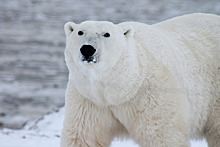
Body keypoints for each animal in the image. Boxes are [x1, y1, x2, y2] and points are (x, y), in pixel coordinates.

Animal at [60, 13, 220, 146]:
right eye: (80, 32)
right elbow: (84, 137)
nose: (87, 49)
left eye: (106, 34)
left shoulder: (151, 95)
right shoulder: (89, 100)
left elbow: (162, 135)